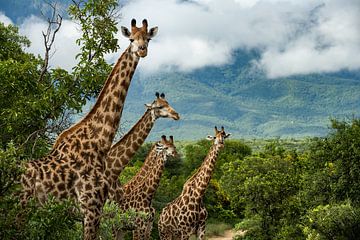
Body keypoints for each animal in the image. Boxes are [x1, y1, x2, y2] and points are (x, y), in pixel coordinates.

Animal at [19, 19, 158, 240]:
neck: (99, 140)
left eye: (148, 38)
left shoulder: (93, 211)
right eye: (131, 39)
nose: (142, 50)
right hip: (21, 208)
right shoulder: (91, 207)